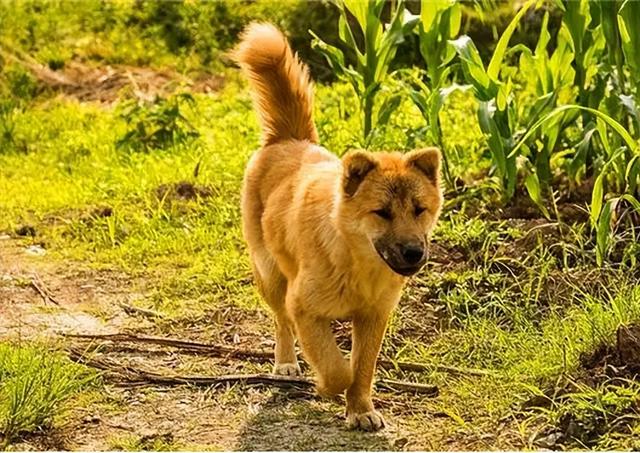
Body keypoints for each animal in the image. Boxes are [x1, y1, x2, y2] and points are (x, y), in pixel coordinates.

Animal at [236, 22, 444, 430]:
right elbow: (336, 369)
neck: (356, 262)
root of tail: (290, 139)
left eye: (419, 209)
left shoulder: (373, 317)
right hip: (270, 276)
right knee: (281, 322)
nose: (414, 252)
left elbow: (361, 369)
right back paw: (286, 363)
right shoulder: (303, 307)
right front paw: (326, 387)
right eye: (382, 212)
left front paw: (360, 408)